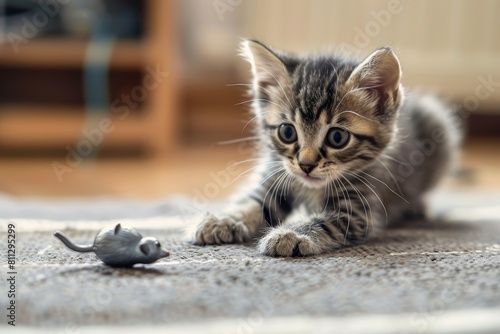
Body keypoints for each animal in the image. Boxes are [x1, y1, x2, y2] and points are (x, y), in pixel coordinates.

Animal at [191, 39, 460, 258]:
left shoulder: (356, 212)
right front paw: (223, 220)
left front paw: (290, 234)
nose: (306, 165)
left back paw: (415, 205)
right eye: (287, 132)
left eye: (337, 137)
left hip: (439, 126)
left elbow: (324, 222)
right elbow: (251, 203)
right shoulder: (276, 176)